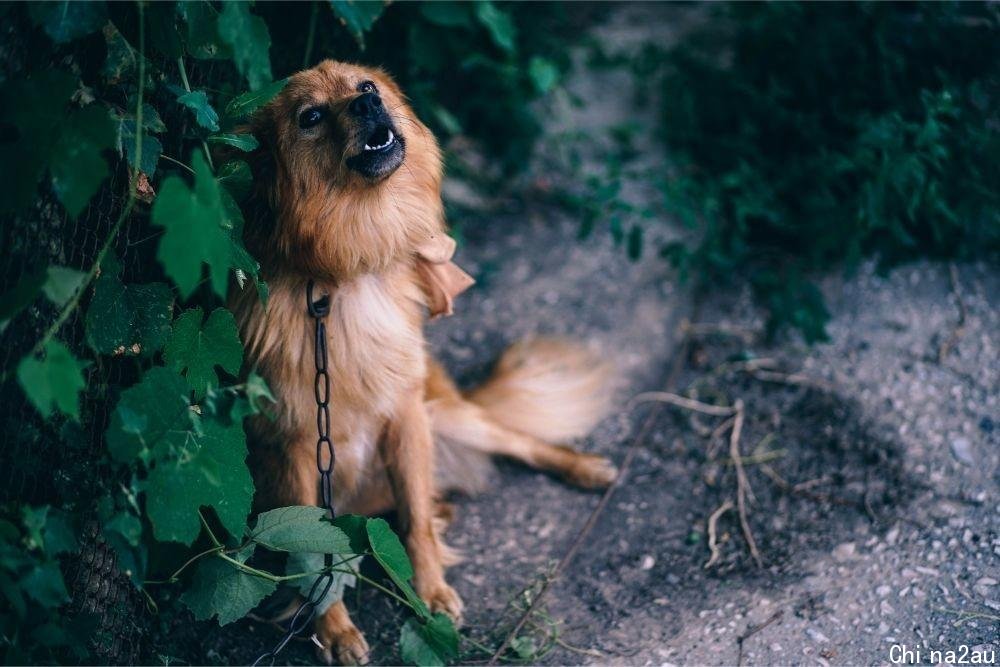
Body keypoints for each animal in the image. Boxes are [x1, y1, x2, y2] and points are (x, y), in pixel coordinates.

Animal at [229, 60, 612, 664]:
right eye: (310, 117)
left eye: (365, 88)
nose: (369, 106)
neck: (343, 274)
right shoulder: (297, 446)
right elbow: (315, 553)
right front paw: (333, 630)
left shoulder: (406, 416)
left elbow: (413, 521)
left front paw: (429, 594)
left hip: (446, 415)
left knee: (516, 440)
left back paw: (584, 468)